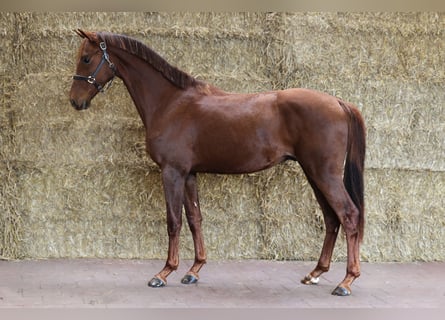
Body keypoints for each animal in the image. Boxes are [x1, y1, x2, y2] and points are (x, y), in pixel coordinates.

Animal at [67, 30, 362, 296]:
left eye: (86, 58)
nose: (75, 101)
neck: (172, 103)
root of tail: (339, 102)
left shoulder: (172, 172)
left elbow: (174, 221)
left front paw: (164, 272)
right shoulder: (189, 174)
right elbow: (194, 218)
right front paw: (193, 270)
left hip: (324, 174)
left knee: (348, 215)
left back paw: (346, 281)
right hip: (314, 174)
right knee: (331, 218)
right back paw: (316, 273)